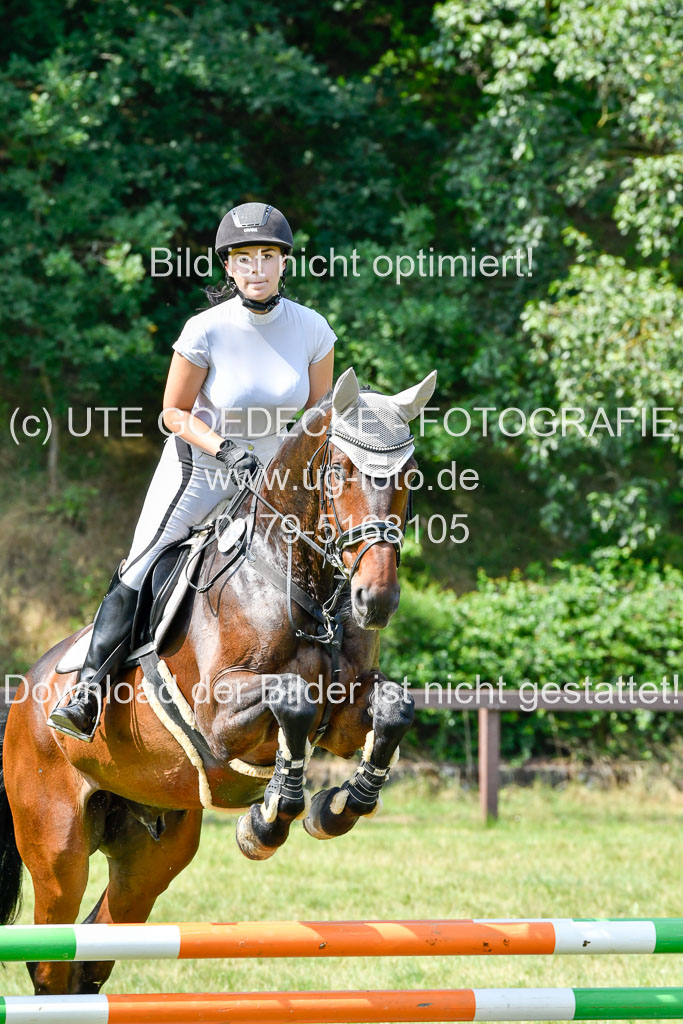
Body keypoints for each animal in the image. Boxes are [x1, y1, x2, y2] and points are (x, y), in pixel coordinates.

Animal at [0, 366, 436, 996]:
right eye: (339, 471)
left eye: (410, 476)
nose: (375, 600)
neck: (297, 583)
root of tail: (22, 699)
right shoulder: (219, 718)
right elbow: (292, 700)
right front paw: (268, 818)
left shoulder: (344, 716)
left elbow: (393, 709)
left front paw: (336, 808)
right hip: (57, 846)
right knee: (53, 955)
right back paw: (76, 708)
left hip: (152, 848)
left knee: (96, 946)